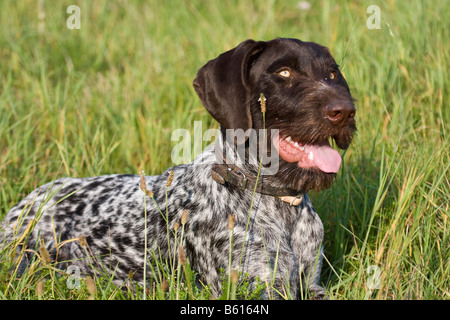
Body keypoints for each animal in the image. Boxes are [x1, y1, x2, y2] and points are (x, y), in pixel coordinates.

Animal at [1, 38, 356, 300]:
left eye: (332, 75)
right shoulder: (261, 287)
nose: (345, 111)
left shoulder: (311, 285)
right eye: (283, 73)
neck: (279, 205)